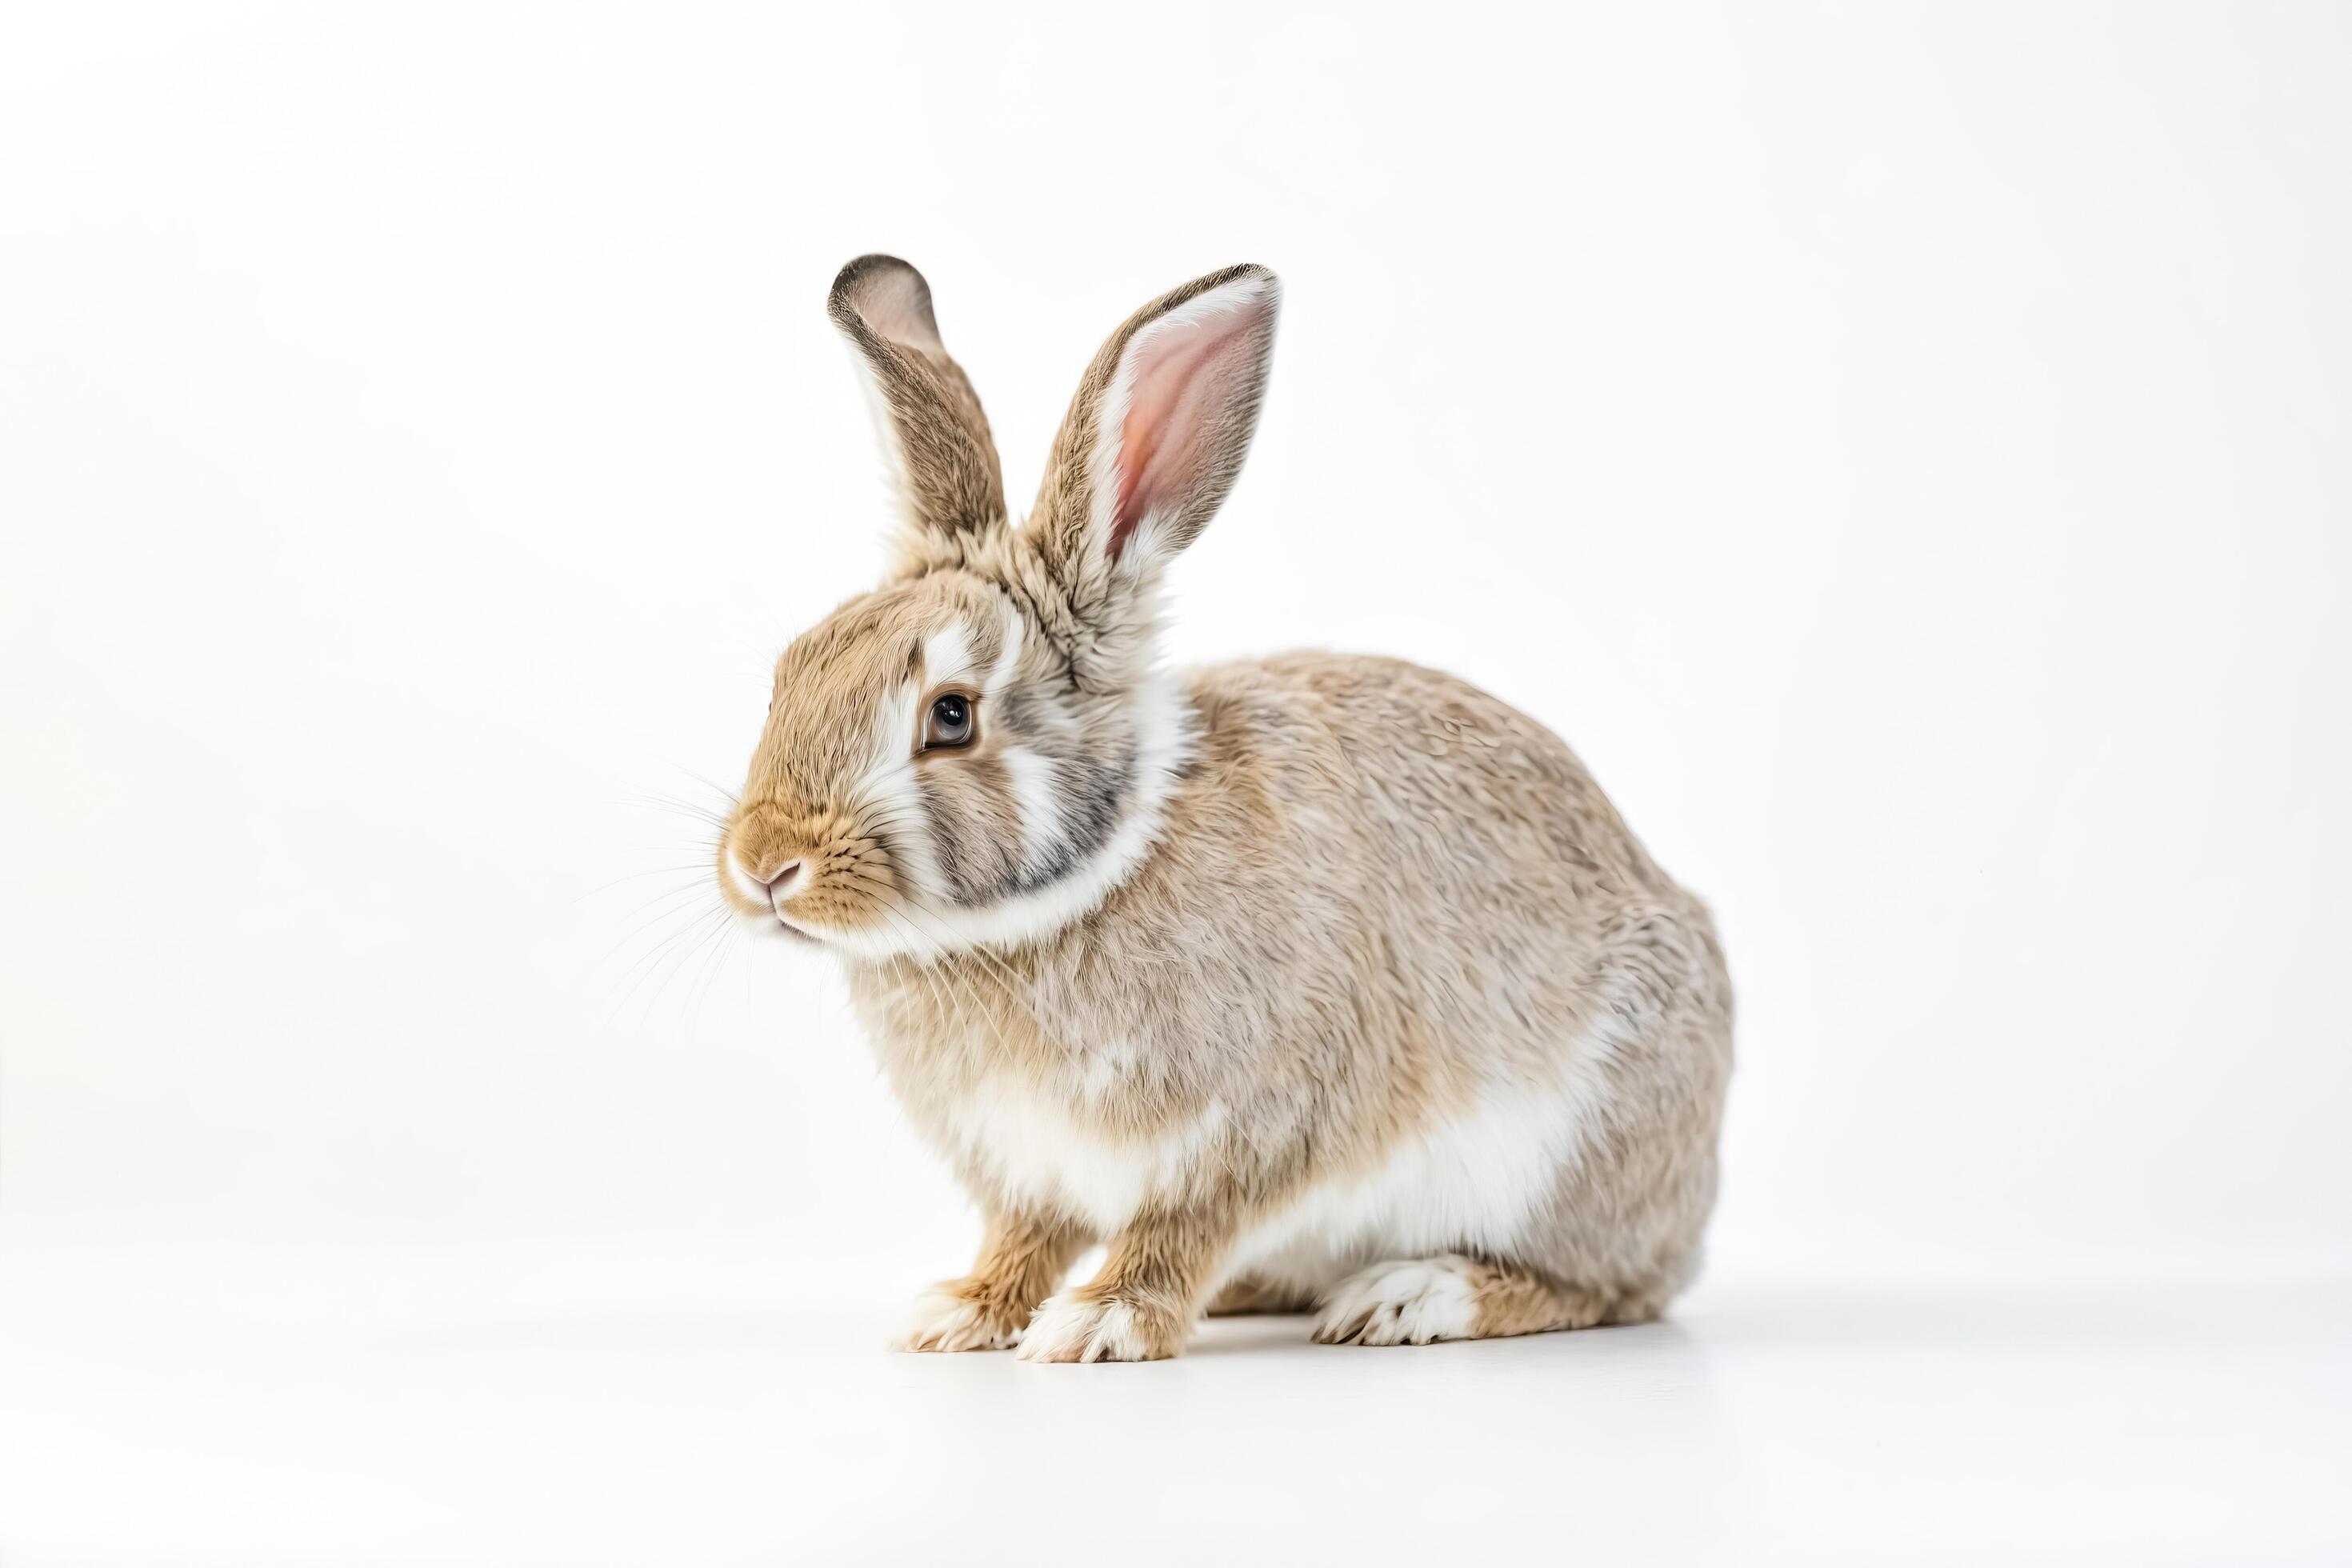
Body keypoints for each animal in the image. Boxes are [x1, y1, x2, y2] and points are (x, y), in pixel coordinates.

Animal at [724, 257, 1740, 1363]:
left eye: (950, 717)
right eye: (790, 670)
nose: (763, 865)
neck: (1070, 891)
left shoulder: (1256, 1126)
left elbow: (1178, 1232)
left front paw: (1101, 1324)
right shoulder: (1026, 1171)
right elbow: (1025, 1239)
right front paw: (960, 1314)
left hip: (1583, 1153)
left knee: (1609, 1288)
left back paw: (1413, 1296)